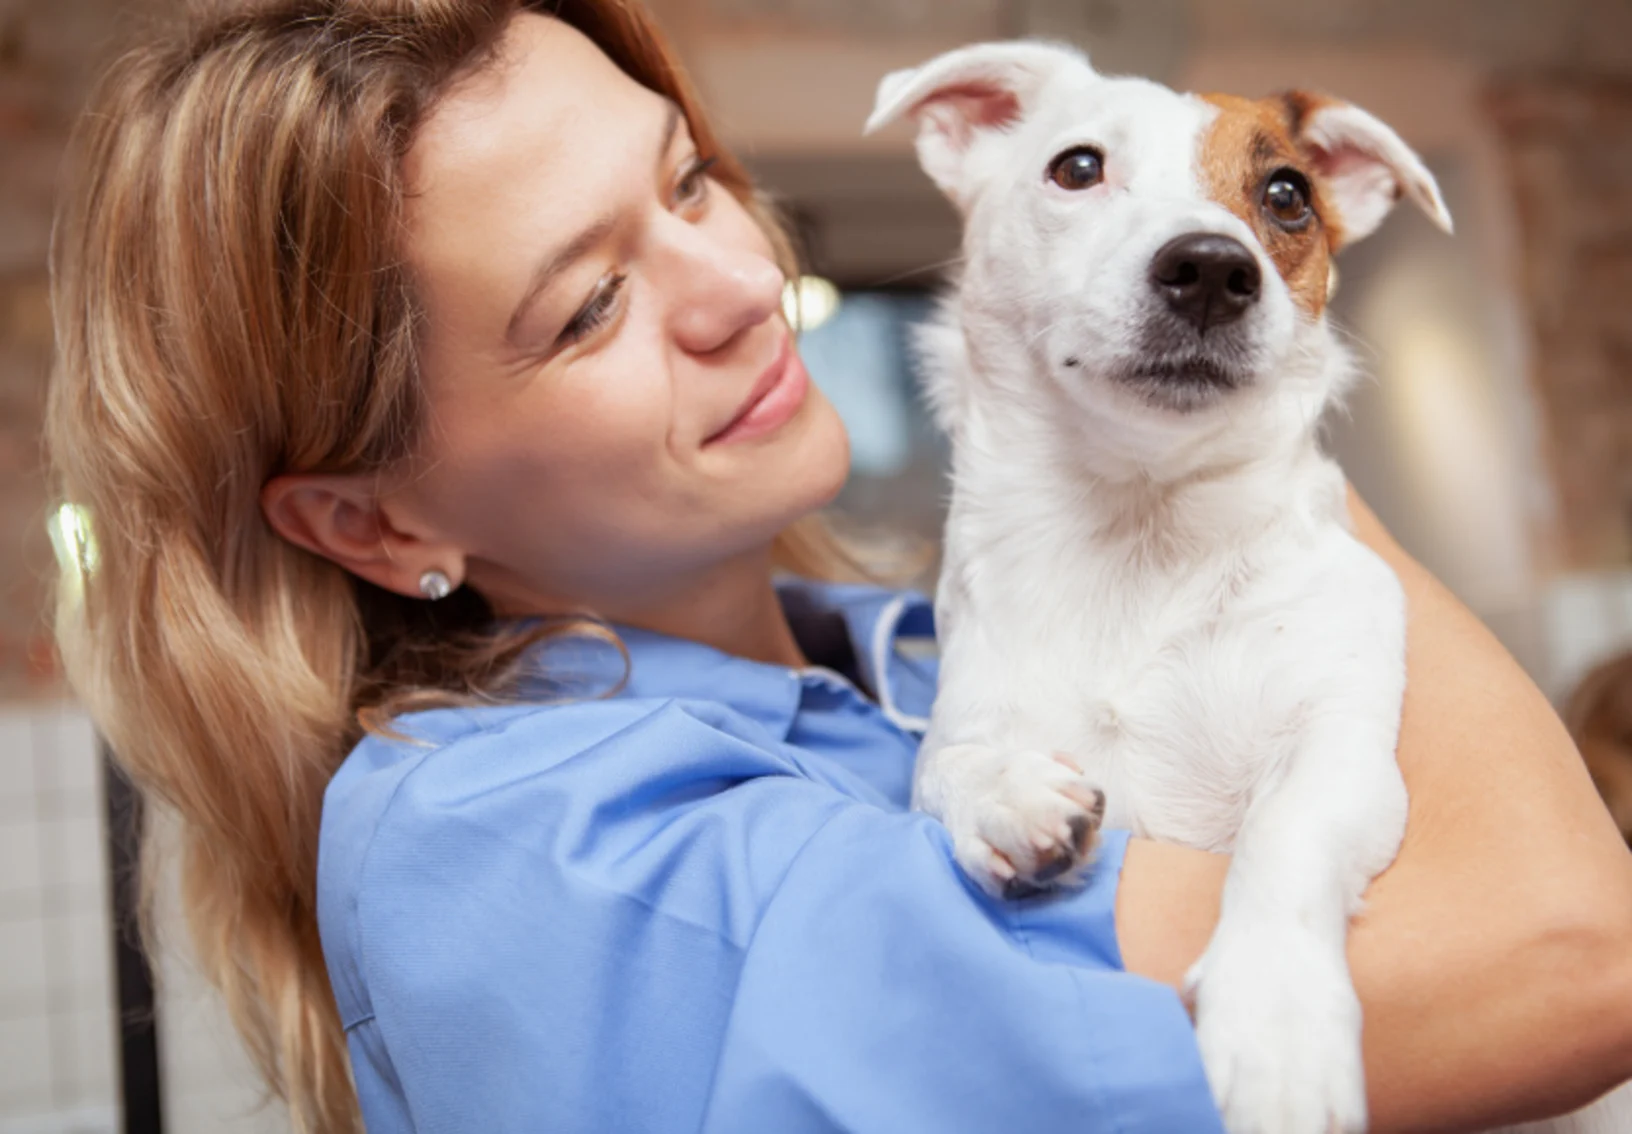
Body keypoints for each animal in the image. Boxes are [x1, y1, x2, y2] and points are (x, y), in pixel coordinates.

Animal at [868, 39, 1632, 1134]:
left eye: (1287, 195)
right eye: (1077, 167)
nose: (1211, 269)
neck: (1140, 536)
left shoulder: (1341, 754)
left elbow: (1283, 836)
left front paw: (1278, 1025)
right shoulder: (965, 717)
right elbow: (943, 770)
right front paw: (1010, 797)